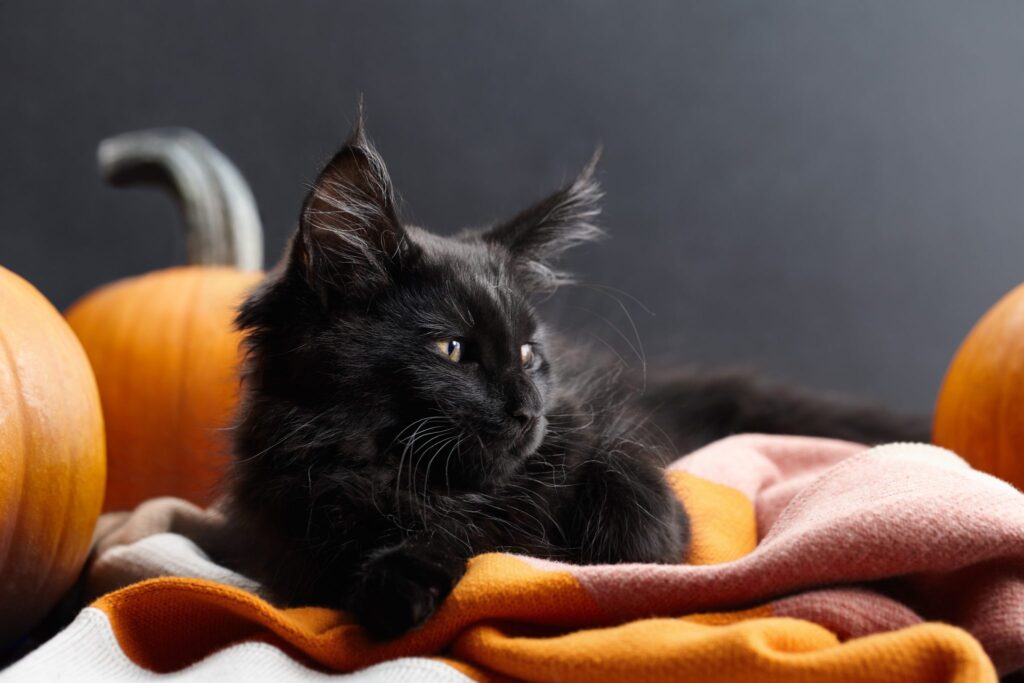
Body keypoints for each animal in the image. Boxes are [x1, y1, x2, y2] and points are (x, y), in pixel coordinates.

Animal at [226, 118, 929, 643]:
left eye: (529, 353)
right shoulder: (289, 540)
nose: (527, 412)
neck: (424, 485)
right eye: (452, 349)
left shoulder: (616, 459)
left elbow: (629, 522)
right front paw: (402, 582)